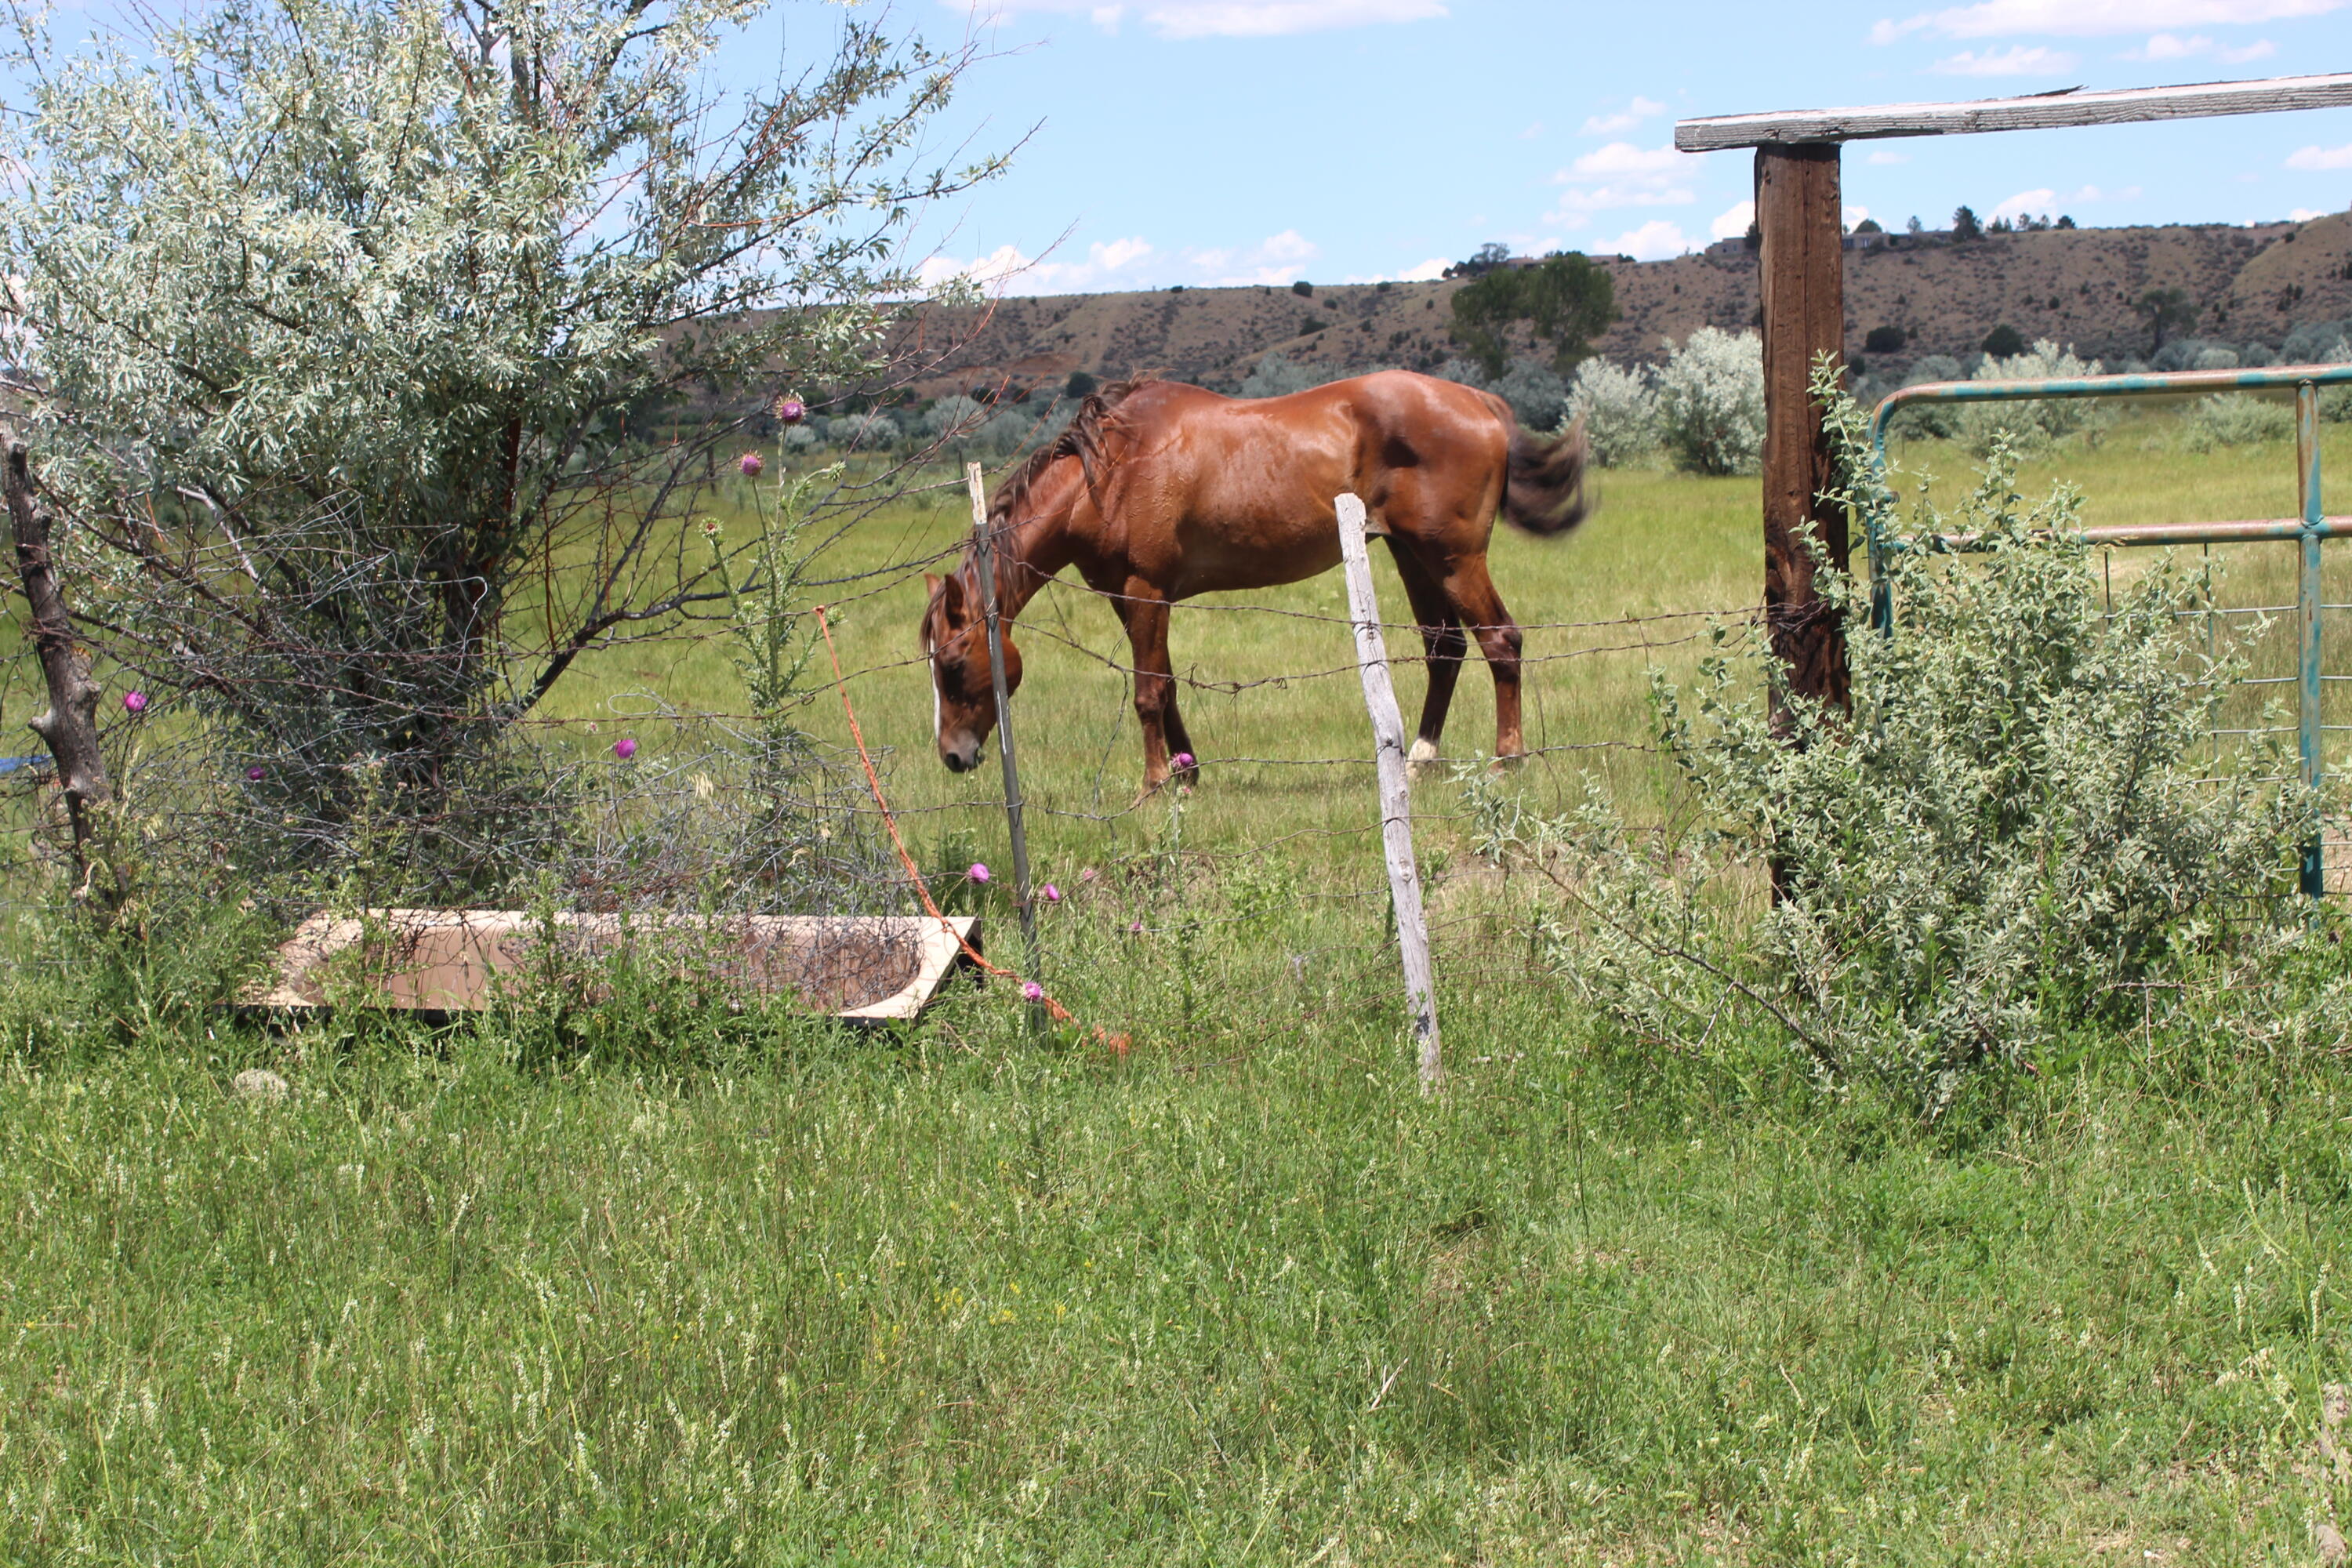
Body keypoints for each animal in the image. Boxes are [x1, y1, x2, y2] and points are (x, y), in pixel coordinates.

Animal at [927, 373, 1590, 789]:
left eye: (953, 667)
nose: (952, 757)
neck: (1111, 470)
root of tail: (1480, 402)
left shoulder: (1144, 591)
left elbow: (1147, 693)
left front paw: (1154, 784)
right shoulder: (1131, 598)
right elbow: (1166, 685)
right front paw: (1188, 775)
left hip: (1453, 558)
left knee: (1501, 642)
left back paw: (1507, 762)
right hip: (1413, 556)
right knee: (1445, 649)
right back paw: (1419, 761)